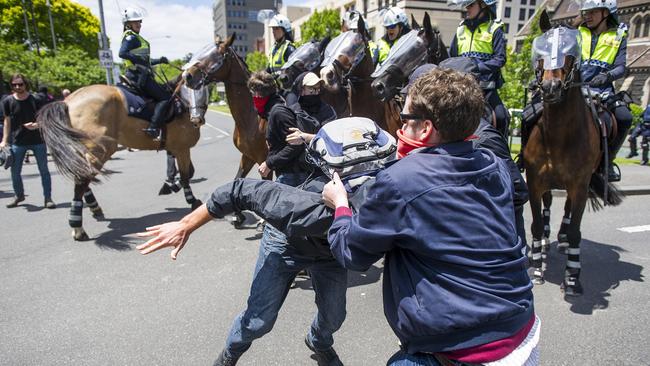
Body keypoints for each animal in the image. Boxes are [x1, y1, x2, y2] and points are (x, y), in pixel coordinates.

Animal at [520, 11, 624, 296]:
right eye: (541, 51)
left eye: (570, 54)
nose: (550, 87)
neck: (557, 138)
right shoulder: (534, 181)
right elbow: (534, 224)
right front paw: (536, 269)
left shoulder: (579, 184)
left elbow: (577, 228)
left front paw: (573, 278)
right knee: (548, 208)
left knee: (567, 212)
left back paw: (563, 239)